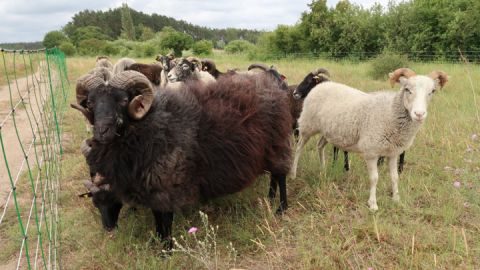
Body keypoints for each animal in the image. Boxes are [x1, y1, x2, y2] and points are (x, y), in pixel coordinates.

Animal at [290, 68, 448, 211]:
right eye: (407, 89)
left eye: (432, 91)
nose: (419, 114)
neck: (389, 112)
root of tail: (321, 86)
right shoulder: (371, 152)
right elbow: (374, 178)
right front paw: (373, 204)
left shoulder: (393, 153)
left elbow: (394, 177)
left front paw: (396, 199)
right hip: (307, 125)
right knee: (299, 148)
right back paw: (293, 173)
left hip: (328, 131)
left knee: (320, 145)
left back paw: (323, 171)